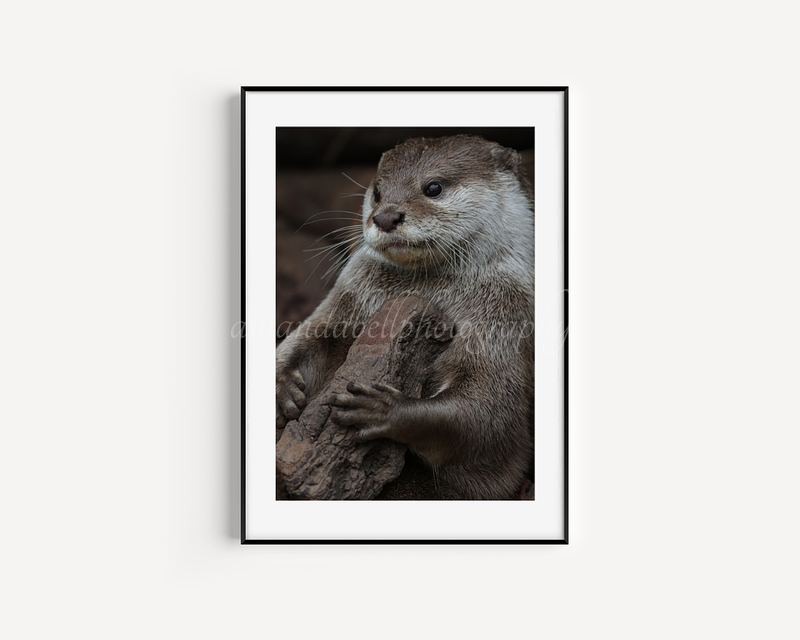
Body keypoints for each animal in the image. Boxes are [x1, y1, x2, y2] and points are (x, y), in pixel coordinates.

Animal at [276, 135, 534, 499]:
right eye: (377, 192)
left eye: (433, 187)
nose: (385, 217)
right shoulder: (348, 298)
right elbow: (310, 336)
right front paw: (281, 386)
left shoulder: (503, 324)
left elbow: (488, 414)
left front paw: (383, 409)